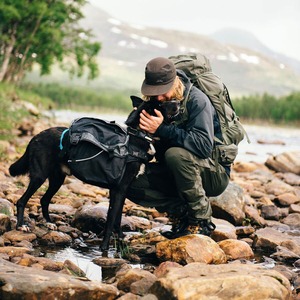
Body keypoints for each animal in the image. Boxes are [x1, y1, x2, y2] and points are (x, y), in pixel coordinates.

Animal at [8, 96, 169, 251]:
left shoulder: (121, 190)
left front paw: (121, 238)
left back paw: (49, 223)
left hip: (57, 179)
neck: (138, 136)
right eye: (162, 104)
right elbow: (111, 220)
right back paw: (21, 225)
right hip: (39, 176)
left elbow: (117, 218)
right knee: (22, 201)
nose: (175, 103)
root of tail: (35, 137)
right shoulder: (119, 190)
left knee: (44, 200)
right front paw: (104, 248)